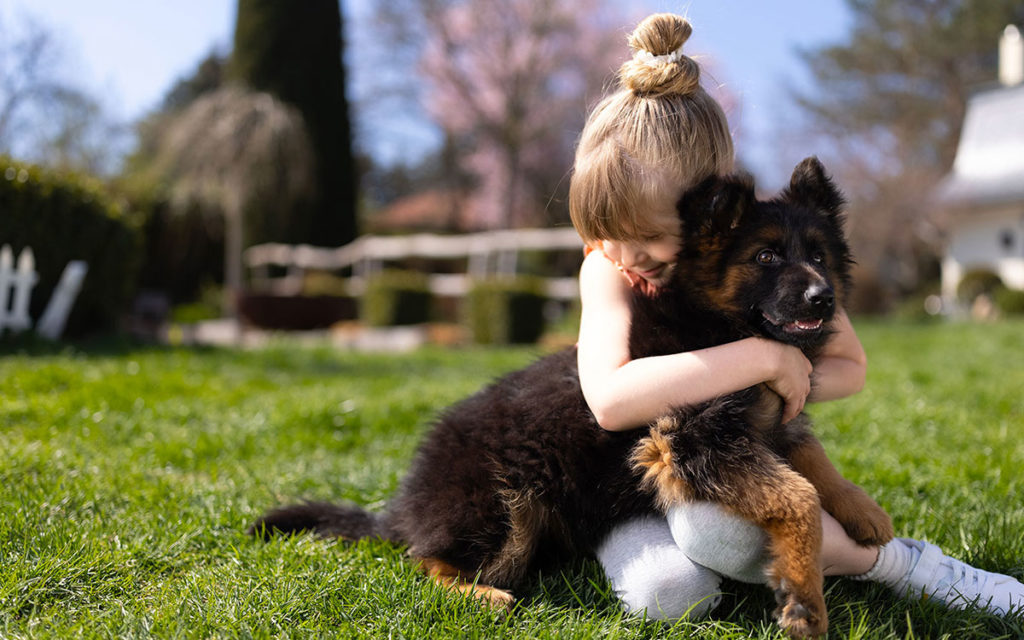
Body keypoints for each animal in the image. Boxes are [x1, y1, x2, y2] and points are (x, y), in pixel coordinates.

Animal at [251, 157, 892, 634]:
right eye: (766, 256)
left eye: (817, 256)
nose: (824, 298)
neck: (719, 326)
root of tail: (405, 510)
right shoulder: (691, 439)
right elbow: (798, 496)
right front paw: (806, 601)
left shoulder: (770, 423)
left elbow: (811, 460)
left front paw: (862, 510)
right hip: (507, 505)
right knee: (423, 562)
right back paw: (478, 595)